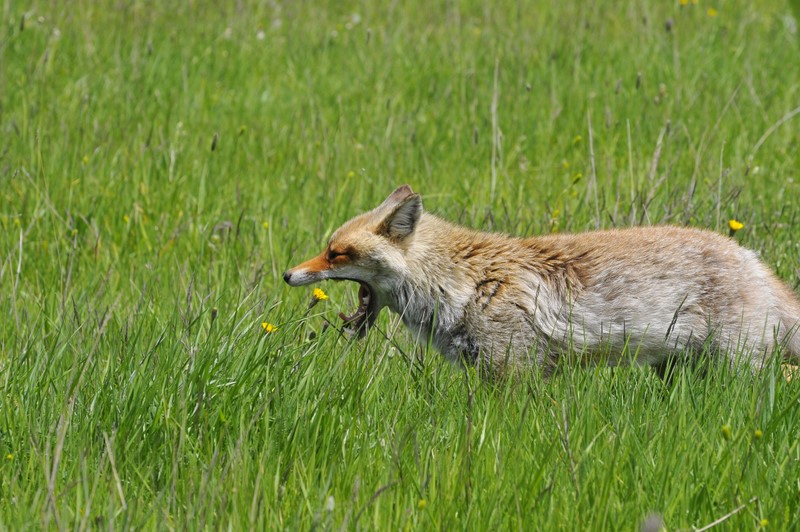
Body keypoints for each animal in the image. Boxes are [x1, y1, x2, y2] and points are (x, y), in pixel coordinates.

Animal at [284, 185, 800, 376]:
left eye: (336, 254)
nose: (288, 274)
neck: (461, 283)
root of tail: (753, 260)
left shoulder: (513, 370)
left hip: (736, 367)